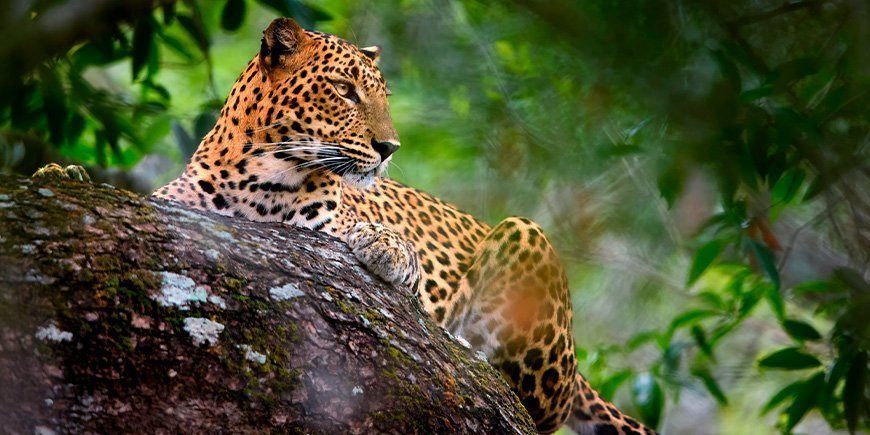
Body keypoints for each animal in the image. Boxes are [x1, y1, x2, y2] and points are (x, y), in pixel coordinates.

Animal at [35, 17, 660, 435]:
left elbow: (357, 231)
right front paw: (61, 171)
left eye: (382, 96)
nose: (389, 148)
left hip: (525, 236)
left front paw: (386, 246)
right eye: (344, 90)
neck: (255, 175)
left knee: (538, 405)